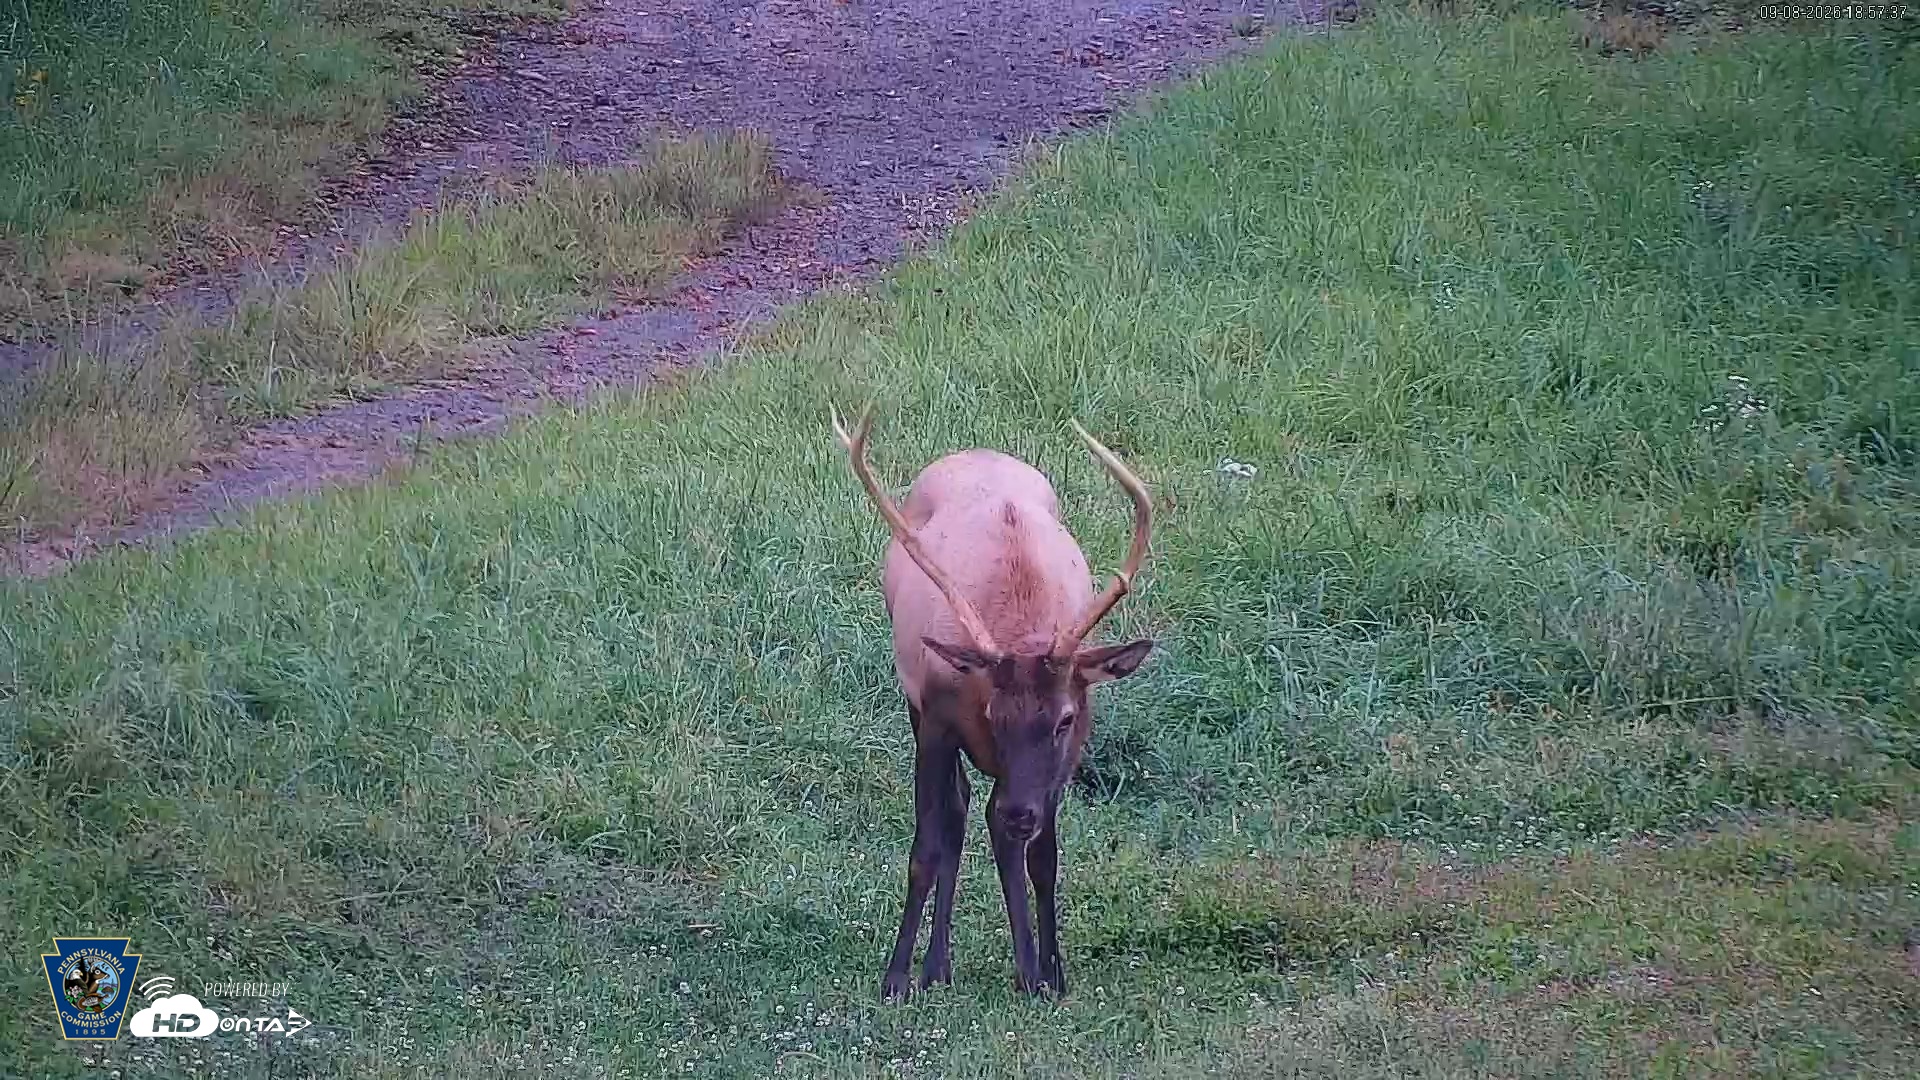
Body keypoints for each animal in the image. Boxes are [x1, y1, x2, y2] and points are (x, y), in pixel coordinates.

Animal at [830, 404, 1156, 1001]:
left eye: (1065, 719)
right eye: (993, 713)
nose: (1020, 811)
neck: (1022, 622)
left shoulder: (1067, 755)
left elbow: (1044, 857)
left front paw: (1050, 974)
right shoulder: (936, 717)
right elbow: (927, 845)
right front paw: (896, 977)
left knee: (985, 820)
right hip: (917, 706)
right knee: (957, 813)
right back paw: (936, 966)